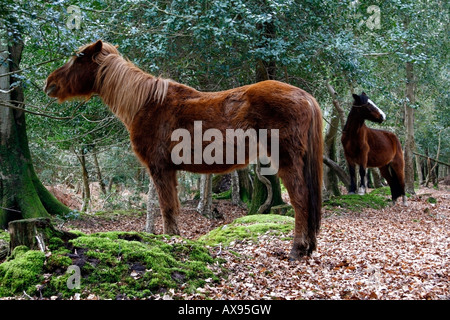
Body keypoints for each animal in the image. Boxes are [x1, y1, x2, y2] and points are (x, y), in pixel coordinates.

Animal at [45, 40, 324, 260]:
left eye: (78, 57)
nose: (50, 83)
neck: (146, 103)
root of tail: (305, 96)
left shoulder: (160, 168)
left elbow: (167, 208)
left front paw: (170, 242)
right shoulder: (170, 170)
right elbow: (171, 207)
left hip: (286, 160)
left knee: (300, 199)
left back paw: (297, 250)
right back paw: (308, 247)